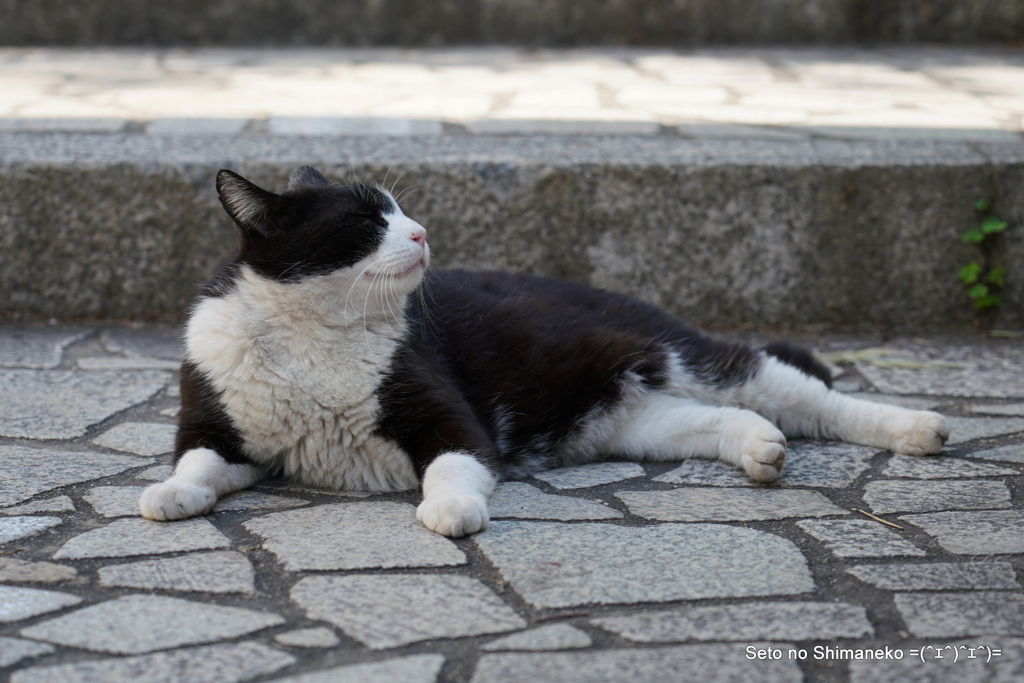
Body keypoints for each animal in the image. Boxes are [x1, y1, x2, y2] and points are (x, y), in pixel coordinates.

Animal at [140, 166, 946, 540]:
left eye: (400, 210)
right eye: (369, 222)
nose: (422, 232)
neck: (317, 331)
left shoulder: (448, 417)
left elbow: (453, 466)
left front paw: (452, 509)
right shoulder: (216, 421)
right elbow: (198, 462)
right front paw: (171, 495)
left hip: (694, 356)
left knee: (806, 396)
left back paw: (917, 429)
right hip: (634, 421)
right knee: (726, 422)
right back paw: (761, 451)